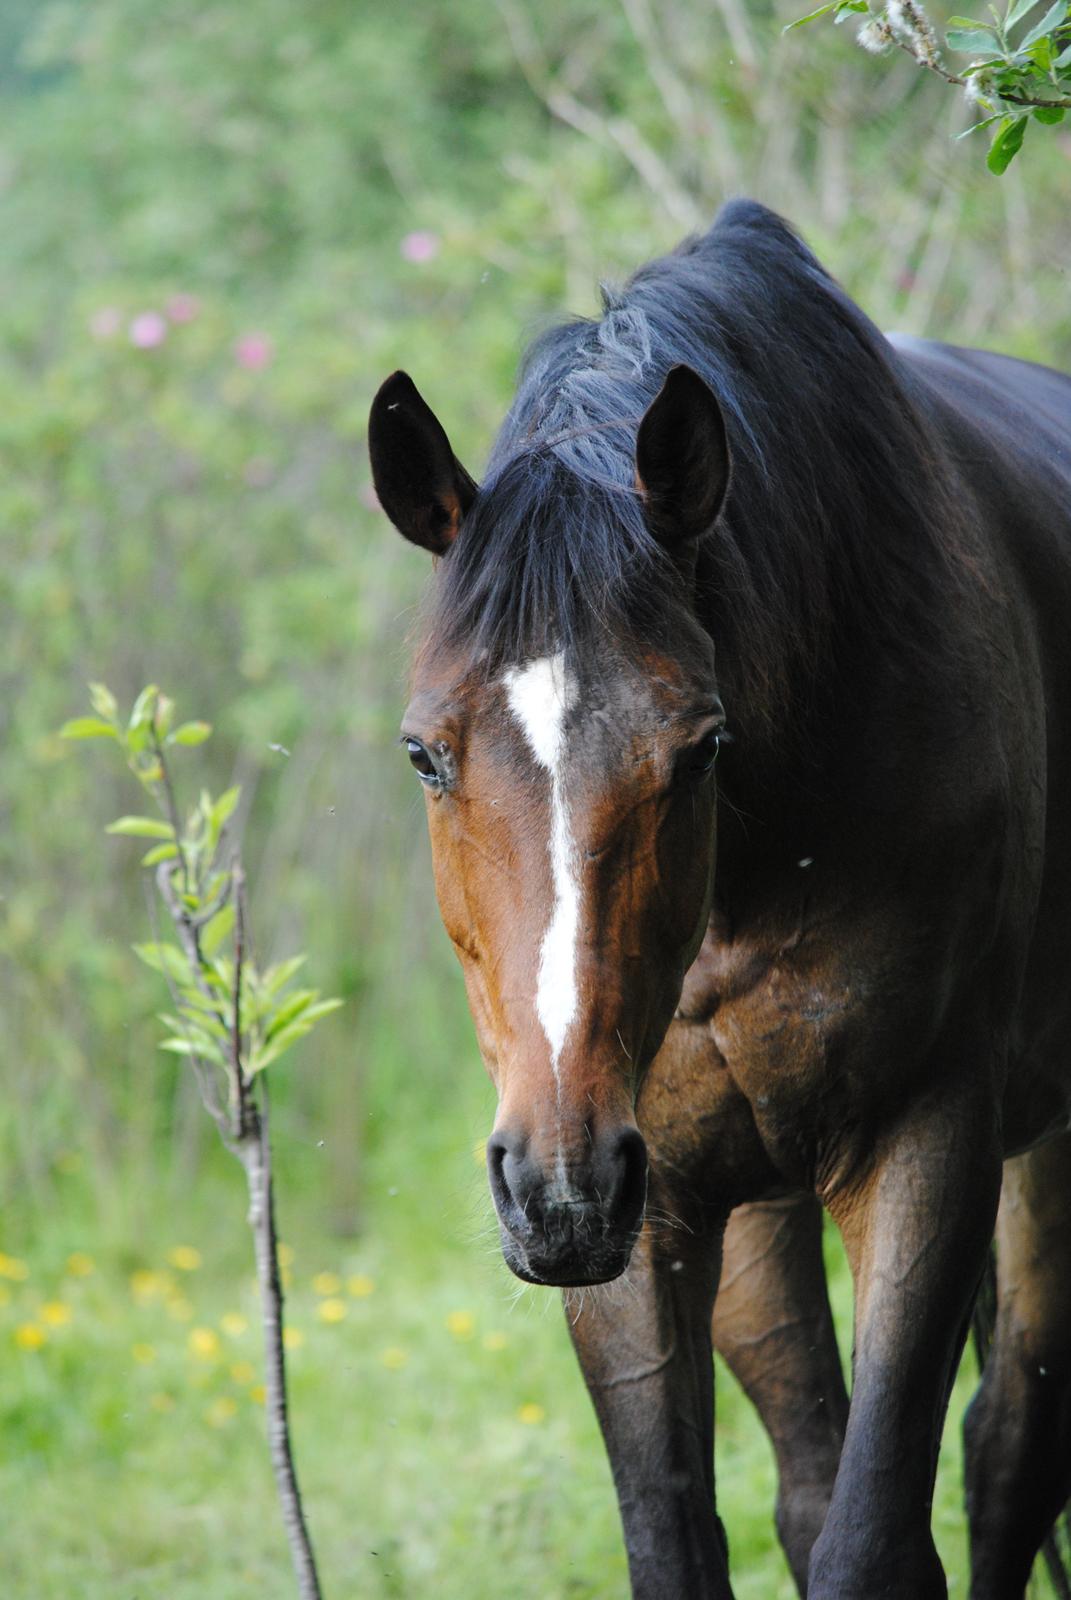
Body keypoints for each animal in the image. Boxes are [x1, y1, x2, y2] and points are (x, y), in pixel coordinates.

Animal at [368, 203, 1069, 1600]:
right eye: (425, 753)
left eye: (698, 749)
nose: (558, 1185)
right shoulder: (646, 1211)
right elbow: (690, 1534)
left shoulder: (930, 1146)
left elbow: (876, 1537)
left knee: (1013, 1438)